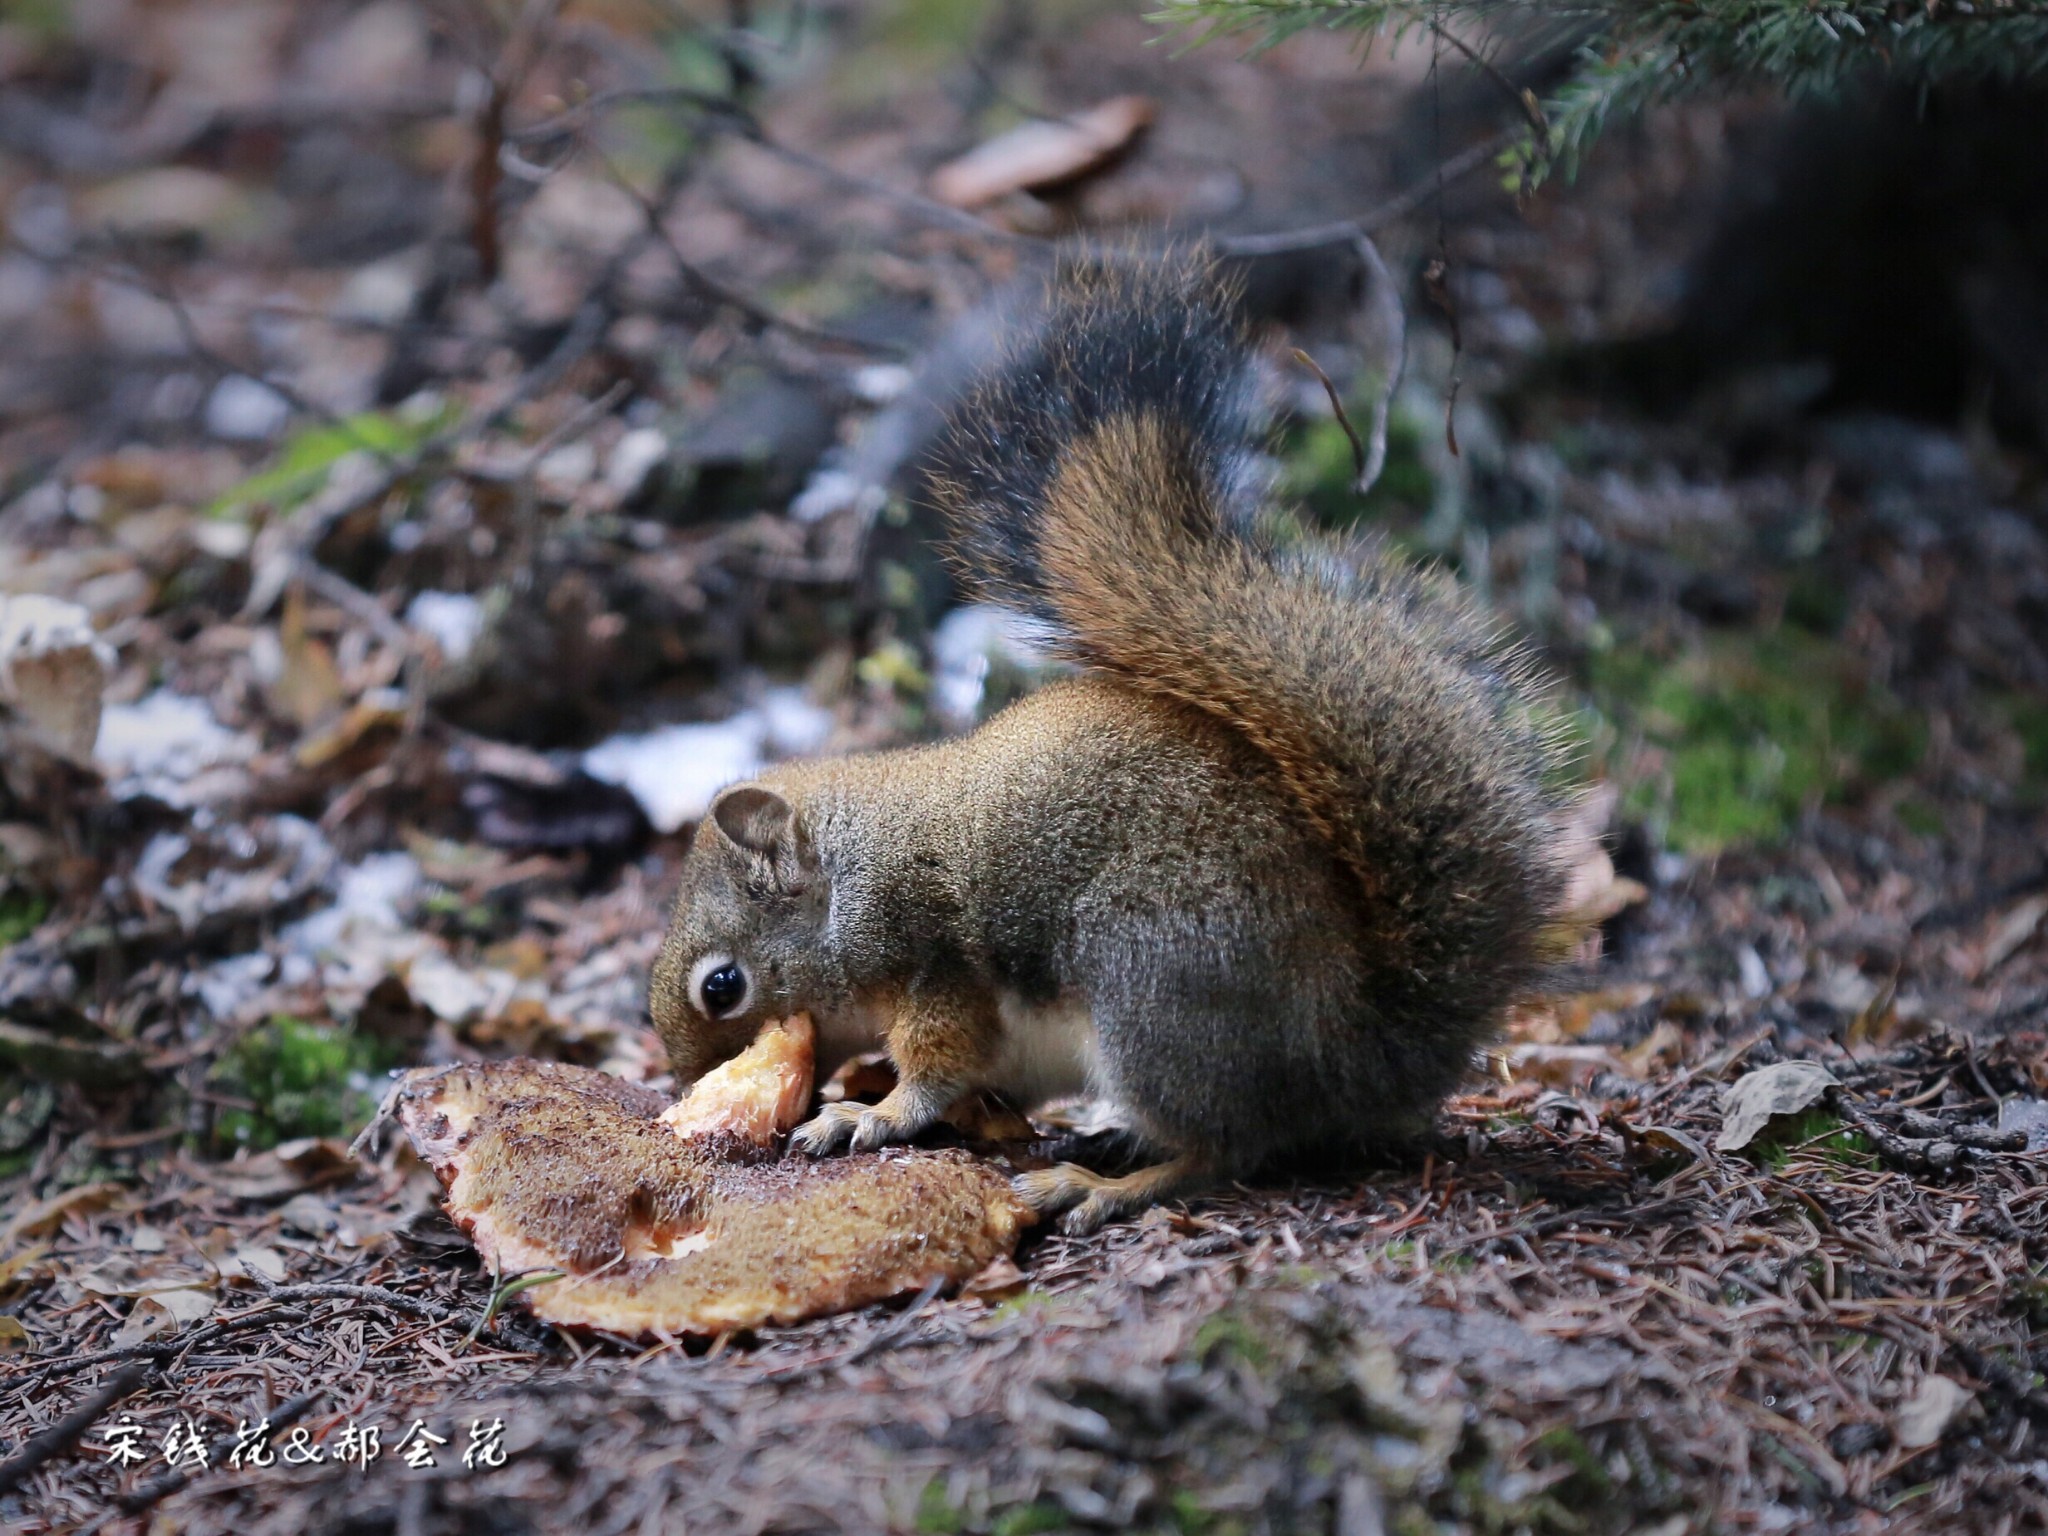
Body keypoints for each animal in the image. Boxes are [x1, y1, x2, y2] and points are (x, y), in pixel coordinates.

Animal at [647, 252, 1572, 1236]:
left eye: (721, 986)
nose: (687, 1081)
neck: (856, 873)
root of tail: (1357, 1055)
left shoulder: (933, 962)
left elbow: (936, 1067)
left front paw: (871, 1113)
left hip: (1151, 987)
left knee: (1228, 1148)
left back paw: (1096, 1185)